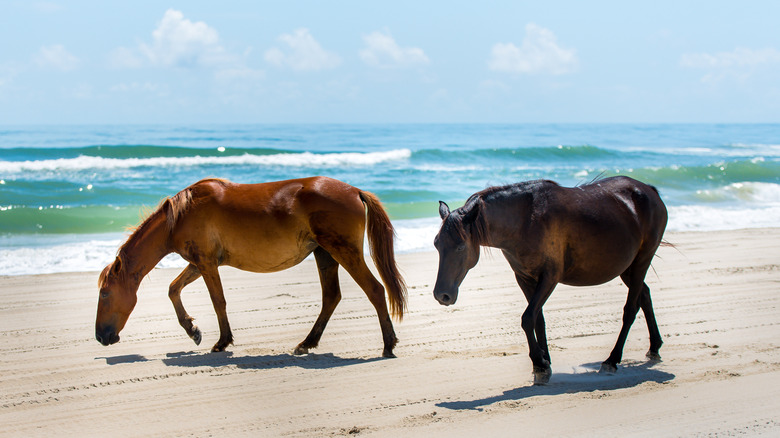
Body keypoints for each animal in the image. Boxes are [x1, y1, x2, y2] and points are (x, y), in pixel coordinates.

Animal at [96, 176, 408, 358]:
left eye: (104, 294)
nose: (100, 336)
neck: (182, 214)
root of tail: (355, 190)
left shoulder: (206, 263)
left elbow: (218, 301)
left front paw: (222, 341)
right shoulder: (199, 263)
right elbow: (174, 289)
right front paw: (192, 330)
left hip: (343, 251)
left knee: (375, 290)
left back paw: (388, 344)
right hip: (325, 254)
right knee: (331, 297)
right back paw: (306, 343)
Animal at [430, 175, 668, 384]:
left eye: (461, 246)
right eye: (436, 244)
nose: (442, 295)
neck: (525, 221)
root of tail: (649, 190)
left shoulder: (550, 277)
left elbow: (527, 318)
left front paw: (540, 364)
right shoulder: (524, 278)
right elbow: (538, 319)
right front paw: (544, 361)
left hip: (642, 260)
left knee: (631, 309)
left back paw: (612, 360)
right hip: (626, 267)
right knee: (644, 295)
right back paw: (654, 347)